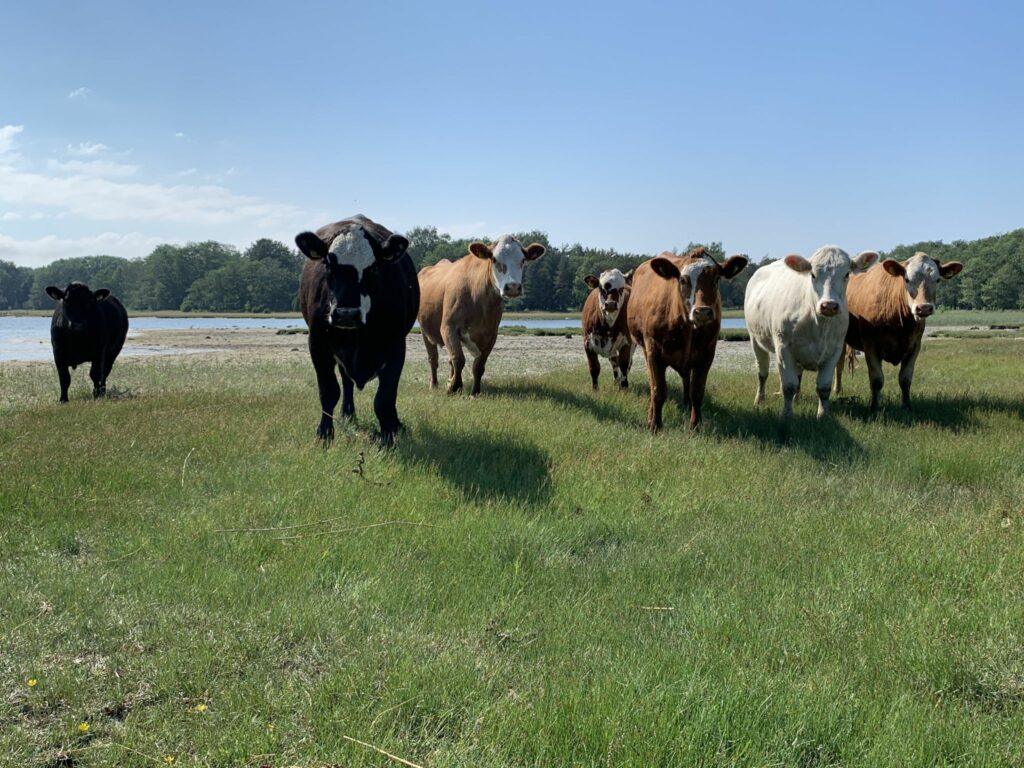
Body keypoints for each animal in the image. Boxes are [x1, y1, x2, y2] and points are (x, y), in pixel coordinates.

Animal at [294, 215, 417, 444]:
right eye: (328, 264)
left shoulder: (396, 345)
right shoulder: (317, 343)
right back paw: (347, 414)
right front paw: (324, 434)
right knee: (346, 382)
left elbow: (385, 398)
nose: (346, 314)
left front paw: (388, 436)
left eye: (374, 268)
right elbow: (328, 391)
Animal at [415, 236, 544, 397]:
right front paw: (454, 387)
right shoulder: (448, 327)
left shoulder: (491, 333)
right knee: (433, 358)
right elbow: (458, 359)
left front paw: (474, 392)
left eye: (522, 260)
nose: (513, 287)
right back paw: (434, 384)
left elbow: (478, 365)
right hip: (424, 330)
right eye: (494, 259)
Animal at [626, 247, 749, 434]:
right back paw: (651, 415)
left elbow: (697, 391)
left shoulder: (707, 353)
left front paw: (695, 426)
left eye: (716, 279)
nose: (702, 311)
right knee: (652, 382)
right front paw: (655, 425)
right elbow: (658, 390)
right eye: (683, 280)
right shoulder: (653, 350)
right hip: (645, 348)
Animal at [745, 246, 880, 417]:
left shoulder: (834, 350)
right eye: (813, 274)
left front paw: (823, 415)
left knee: (797, 375)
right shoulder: (783, 348)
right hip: (755, 340)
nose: (829, 306)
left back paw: (796, 399)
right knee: (762, 373)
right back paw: (760, 400)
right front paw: (786, 415)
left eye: (846, 274)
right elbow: (788, 385)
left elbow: (823, 387)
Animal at [835, 250, 962, 411]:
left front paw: (907, 406)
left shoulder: (914, 346)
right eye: (907, 280)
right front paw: (874, 408)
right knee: (838, 364)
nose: (924, 308)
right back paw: (837, 391)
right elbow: (876, 380)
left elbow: (905, 379)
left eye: (938, 280)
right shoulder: (870, 346)